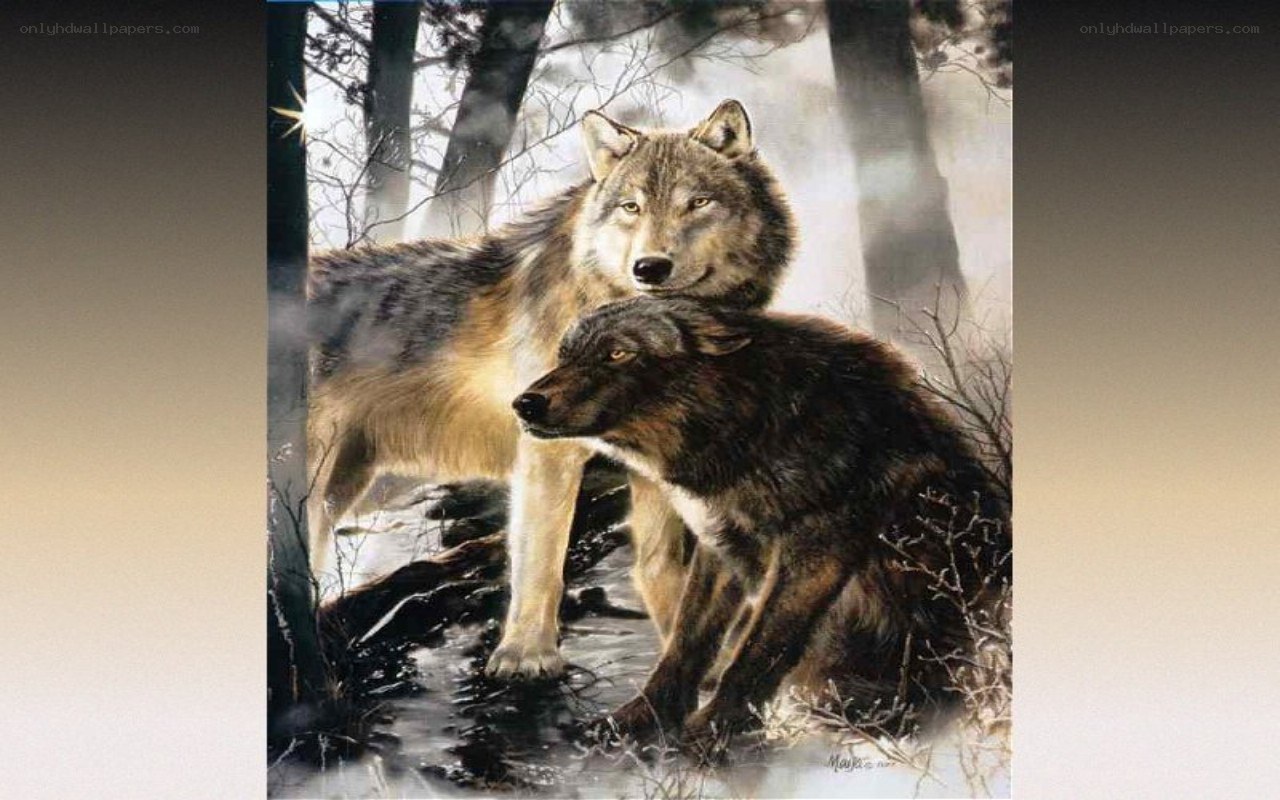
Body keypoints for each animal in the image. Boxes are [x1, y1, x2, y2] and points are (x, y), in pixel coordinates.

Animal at [306, 101, 796, 679]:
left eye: (697, 203)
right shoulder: (546, 449)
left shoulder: (657, 462)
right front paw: (526, 657)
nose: (650, 267)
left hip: (339, 489)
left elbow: (658, 567)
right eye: (631, 207)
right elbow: (541, 560)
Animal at [515, 297, 1011, 748]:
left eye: (617, 353)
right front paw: (640, 718)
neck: (745, 421)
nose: (525, 404)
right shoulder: (718, 546)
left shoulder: (815, 552)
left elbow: (759, 648)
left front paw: (714, 729)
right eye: (565, 355)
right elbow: (685, 645)